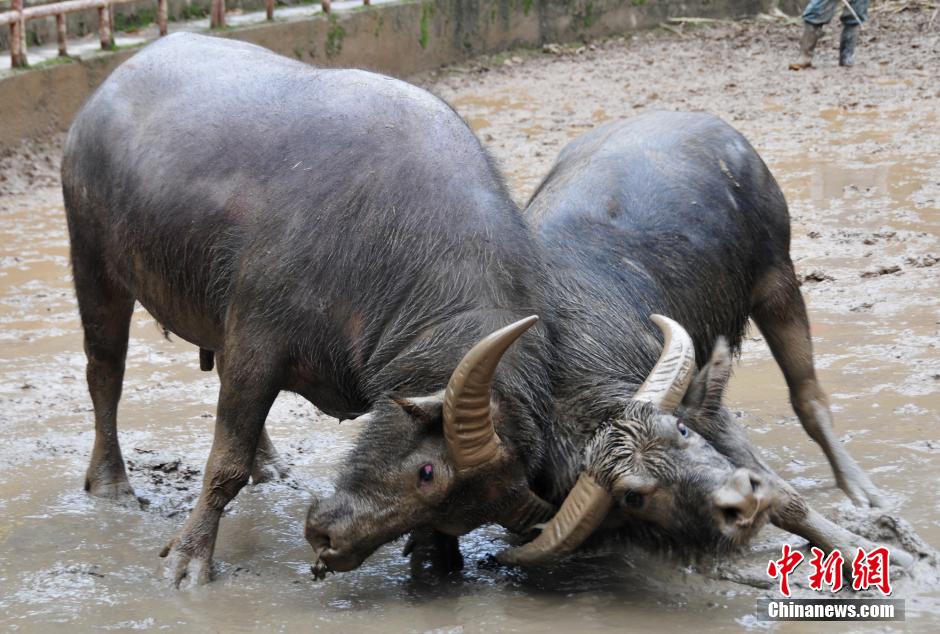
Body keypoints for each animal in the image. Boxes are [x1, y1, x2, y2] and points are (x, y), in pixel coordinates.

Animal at [64, 33, 560, 584]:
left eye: (456, 516)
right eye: (426, 472)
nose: (334, 547)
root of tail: (108, 88)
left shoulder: (247, 338)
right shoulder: (258, 340)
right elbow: (225, 463)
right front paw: (190, 560)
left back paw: (270, 466)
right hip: (94, 262)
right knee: (104, 372)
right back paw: (111, 482)